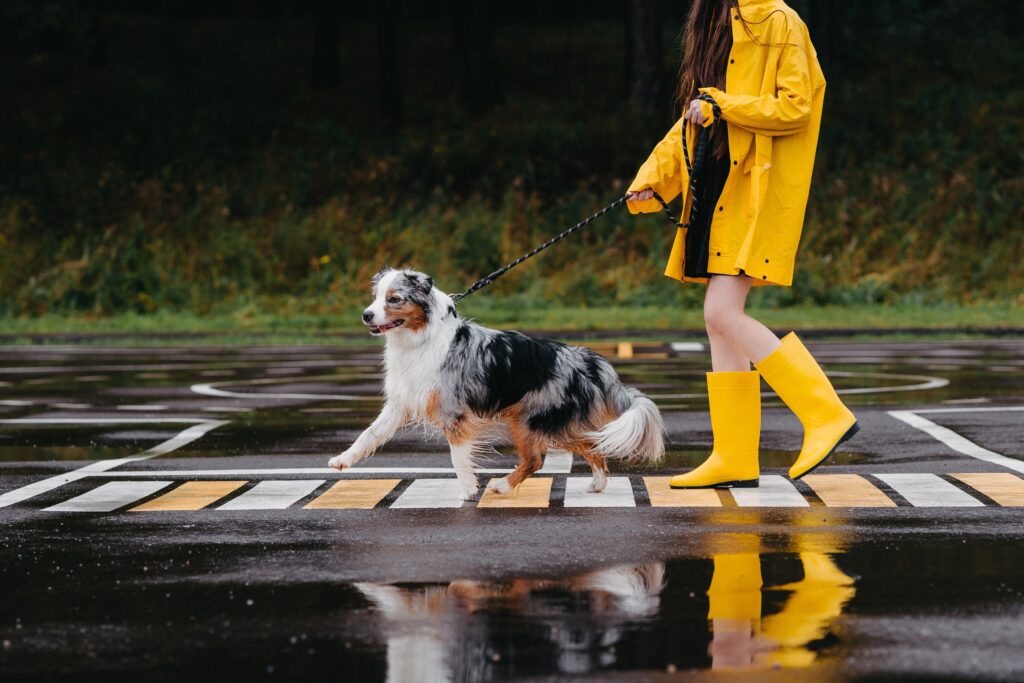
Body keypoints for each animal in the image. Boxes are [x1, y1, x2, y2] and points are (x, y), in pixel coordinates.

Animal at [327, 268, 663, 501]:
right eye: (375, 297)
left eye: (394, 299)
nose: (366, 314)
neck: (418, 338)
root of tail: (590, 361)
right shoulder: (402, 401)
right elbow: (369, 434)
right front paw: (343, 460)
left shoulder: (454, 412)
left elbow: (457, 456)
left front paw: (466, 491)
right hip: (554, 422)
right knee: (591, 446)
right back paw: (597, 483)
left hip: (529, 418)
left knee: (536, 459)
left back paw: (501, 486)